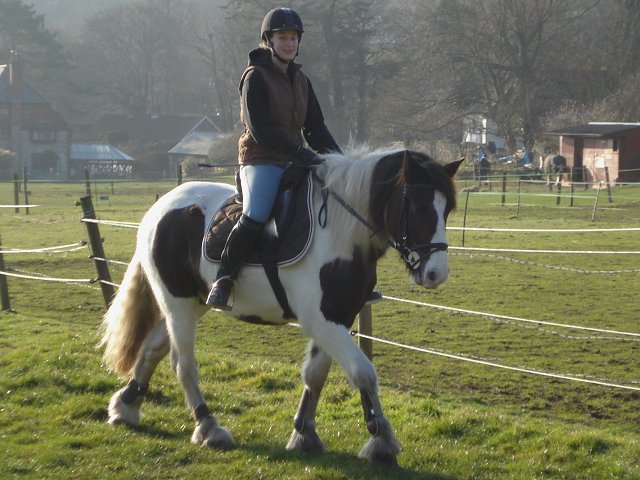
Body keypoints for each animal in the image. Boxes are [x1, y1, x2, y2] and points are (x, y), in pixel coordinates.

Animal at [99, 148, 462, 467]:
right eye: (416, 206)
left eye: (446, 210)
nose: (436, 274)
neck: (340, 234)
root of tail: (160, 208)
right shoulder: (322, 320)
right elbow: (364, 373)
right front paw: (382, 440)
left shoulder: (338, 317)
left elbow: (315, 375)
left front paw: (305, 434)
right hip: (177, 303)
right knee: (183, 364)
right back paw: (208, 427)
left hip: (193, 301)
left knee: (152, 348)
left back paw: (126, 406)